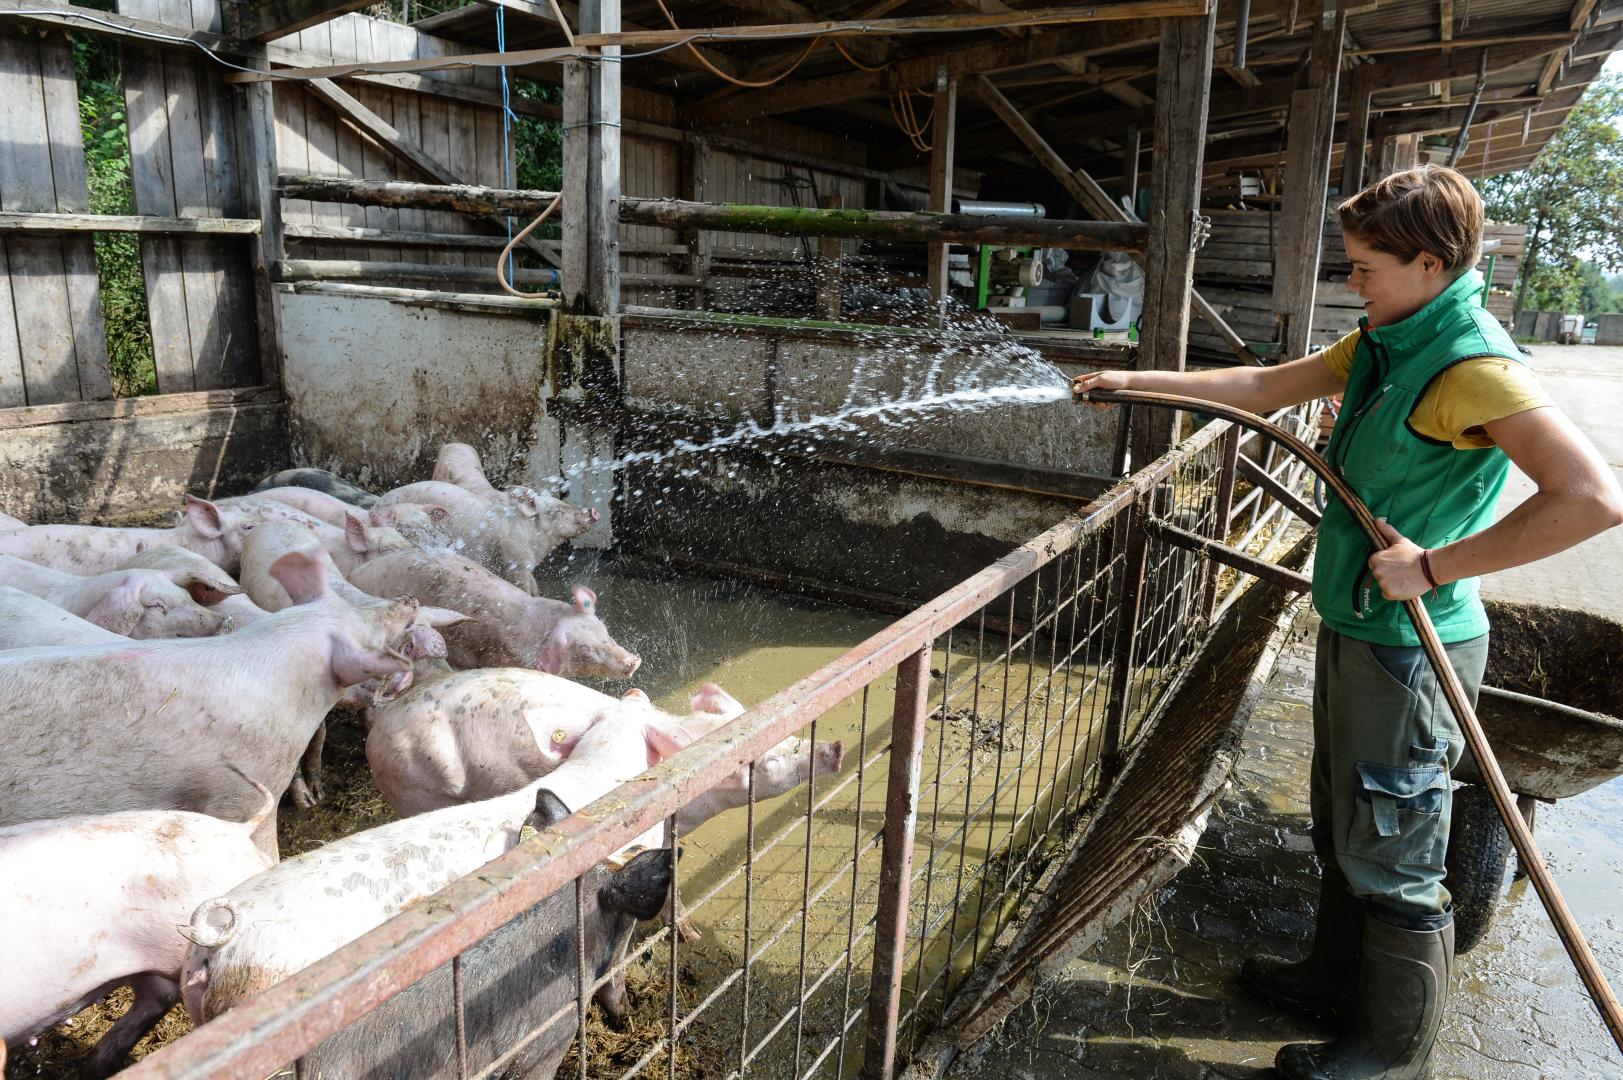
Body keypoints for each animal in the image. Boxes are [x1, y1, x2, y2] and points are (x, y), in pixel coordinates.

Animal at [376, 479, 597, 596]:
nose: (592, 511)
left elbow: (535, 586)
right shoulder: (513, 561)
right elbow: (523, 588)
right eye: (557, 511)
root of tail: (379, 502)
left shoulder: (527, 564)